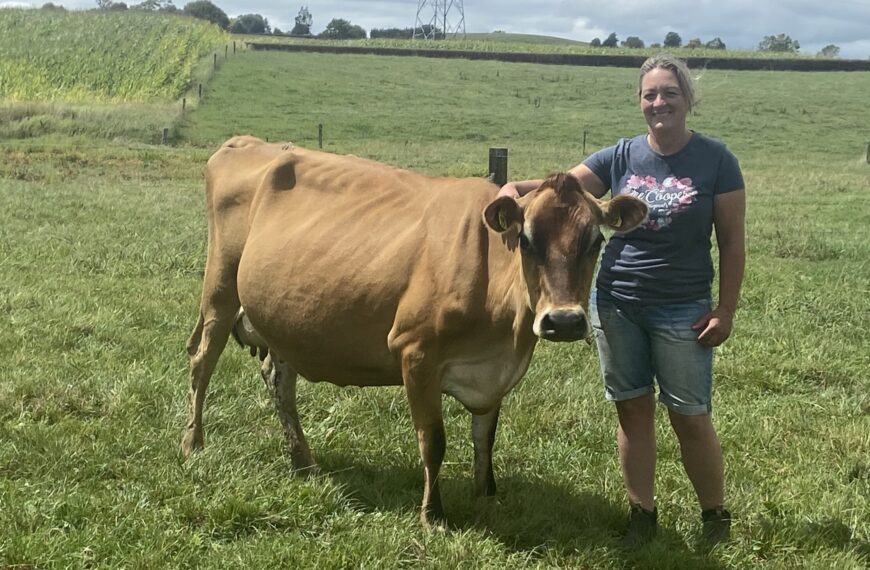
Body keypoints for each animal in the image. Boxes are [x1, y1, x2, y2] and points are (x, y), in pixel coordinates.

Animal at [184, 135, 648, 524]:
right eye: (527, 239)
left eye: (596, 242)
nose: (564, 321)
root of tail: (247, 142)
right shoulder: (416, 353)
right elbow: (433, 441)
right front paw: (432, 513)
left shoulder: (493, 372)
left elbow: (485, 437)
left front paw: (487, 494)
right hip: (220, 290)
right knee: (201, 362)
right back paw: (193, 443)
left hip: (281, 319)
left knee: (278, 381)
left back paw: (303, 460)